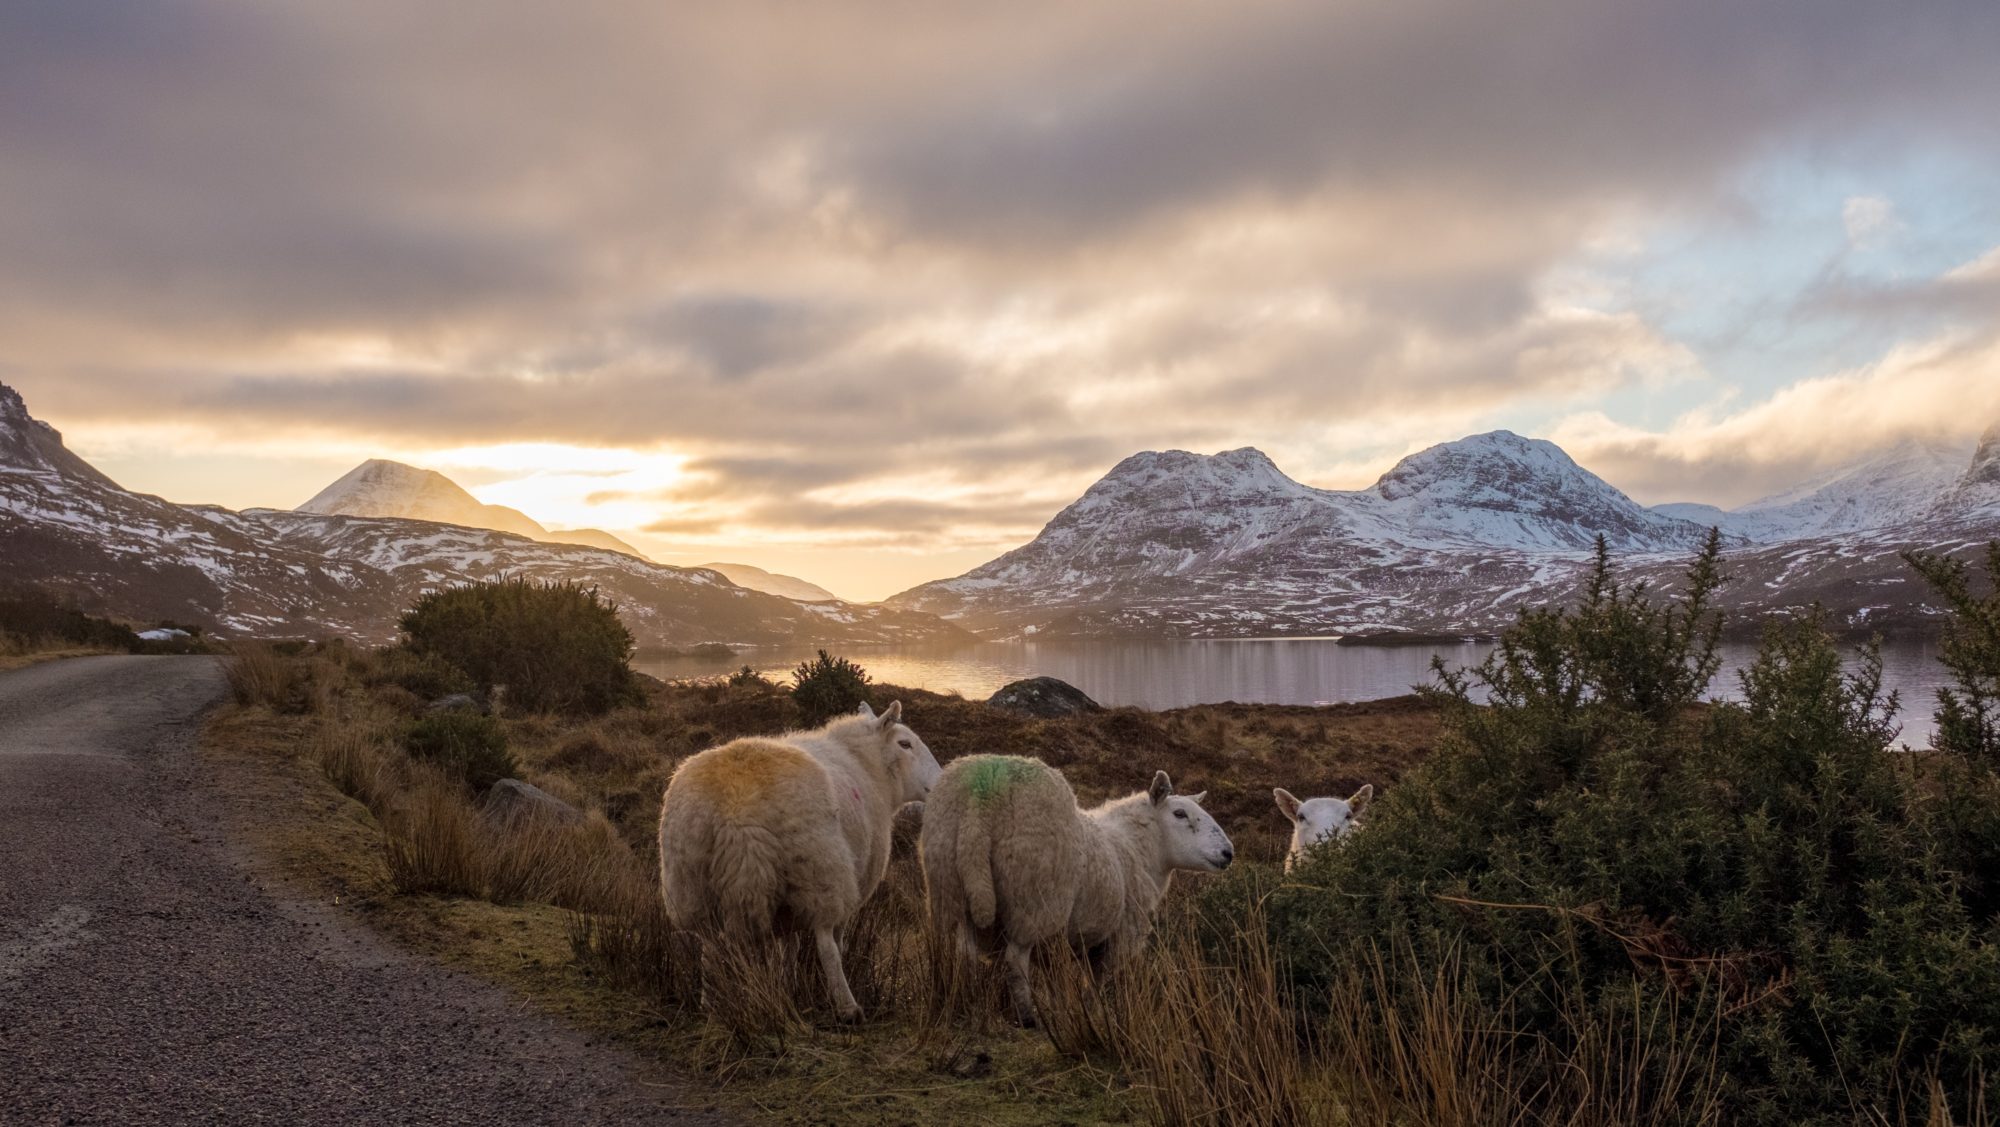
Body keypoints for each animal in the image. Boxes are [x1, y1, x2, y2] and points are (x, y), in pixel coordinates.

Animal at [656, 695, 936, 1023]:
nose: (939, 781)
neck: (866, 766)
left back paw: (708, 1005)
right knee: (826, 943)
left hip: (692, 885)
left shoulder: (787, 905)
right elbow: (834, 941)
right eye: (905, 744)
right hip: (821, 872)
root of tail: (739, 812)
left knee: (708, 948)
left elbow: (788, 945)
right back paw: (847, 1007)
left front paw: (786, 983)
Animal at [920, 751, 1232, 1023]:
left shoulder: (1064, 942)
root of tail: (982, 802)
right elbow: (1095, 981)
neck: (1136, 845)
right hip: (1032, 901)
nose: (1228, 852)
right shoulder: (1116, 936)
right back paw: (1027, 1016)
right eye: (1180, 813)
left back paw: (966, 1001)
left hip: (952, 889)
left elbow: (1057, 981)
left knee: (965, 954)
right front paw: (1094, 1014)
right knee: (1015, 960)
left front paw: (1065, 1010)